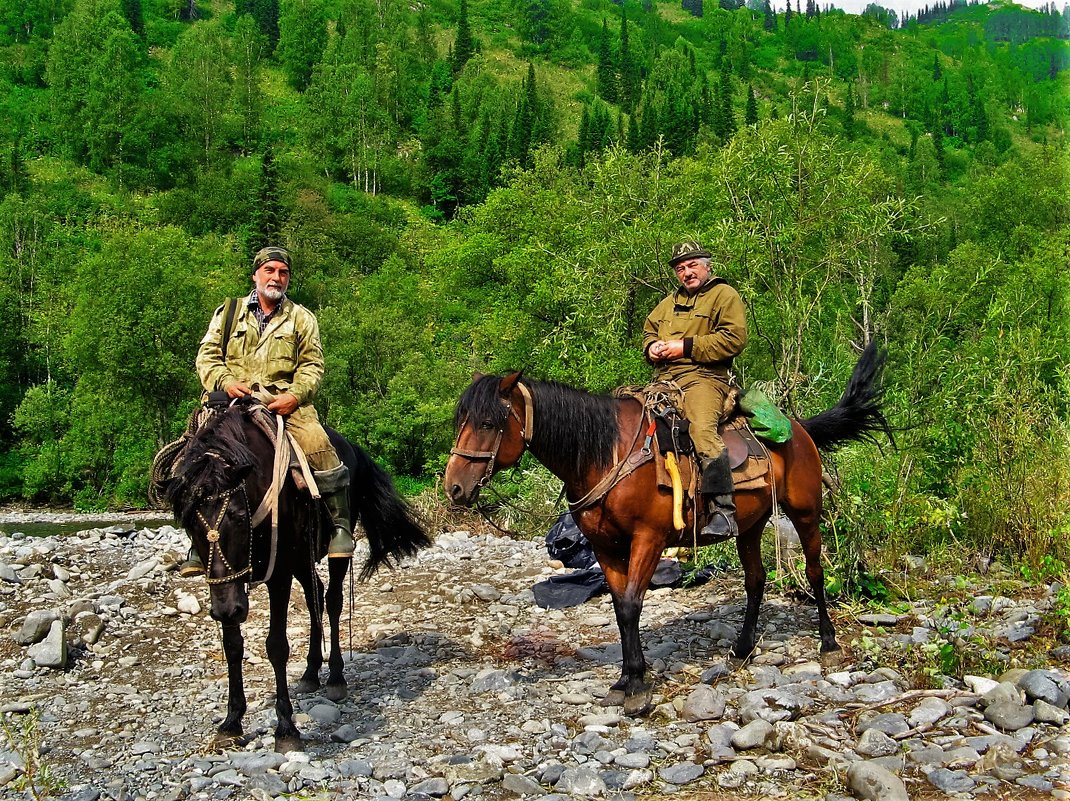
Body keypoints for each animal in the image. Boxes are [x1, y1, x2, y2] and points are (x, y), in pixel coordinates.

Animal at [445, 342, 894, 714]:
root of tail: (799, 428)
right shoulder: (605, 546)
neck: (607, 453)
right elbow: (620, 608)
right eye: (461, 419)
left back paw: (828, 643)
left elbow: (631, 605)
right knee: (756, 579)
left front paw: (637, 688)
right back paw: (742, 648)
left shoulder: (649, 539)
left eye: (489, 423)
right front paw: (625, 680)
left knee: (815, 571)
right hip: (750, 525)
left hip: (804, 512)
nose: (454, 487)